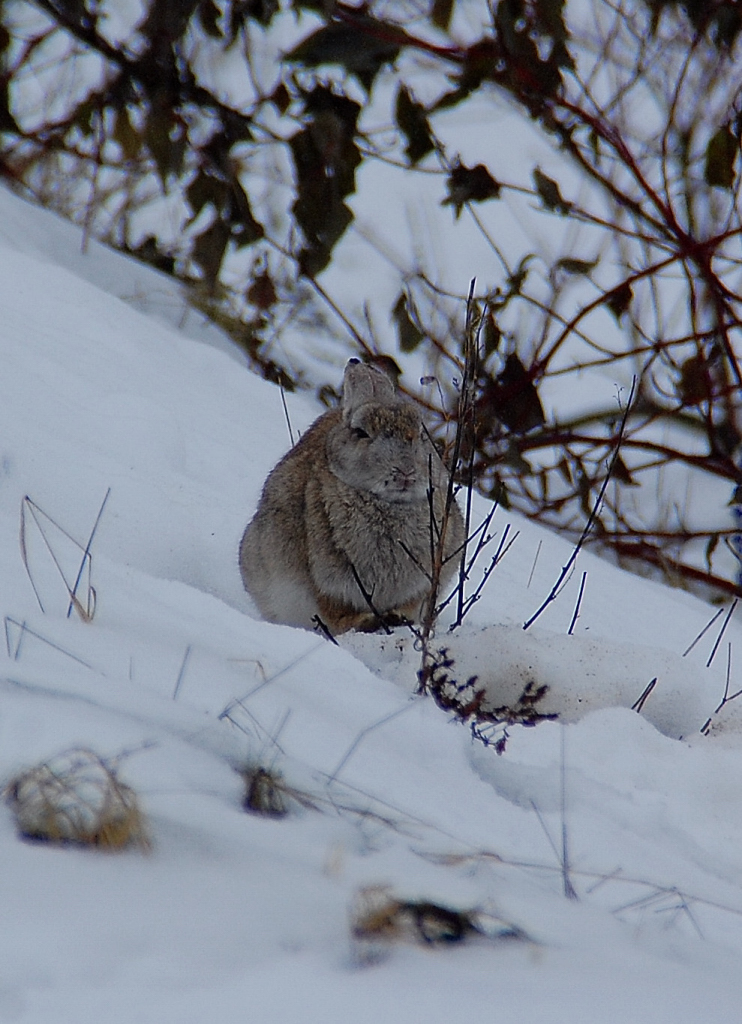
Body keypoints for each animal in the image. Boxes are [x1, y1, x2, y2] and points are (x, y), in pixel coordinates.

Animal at [240, 360, 462, 630]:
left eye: (421, 433)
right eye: (360, 433)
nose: (406, 471)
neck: (388, 503)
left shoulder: (424, 585)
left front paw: (400, 618)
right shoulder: (327, 584)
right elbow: (335, 611)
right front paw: (364, 621)